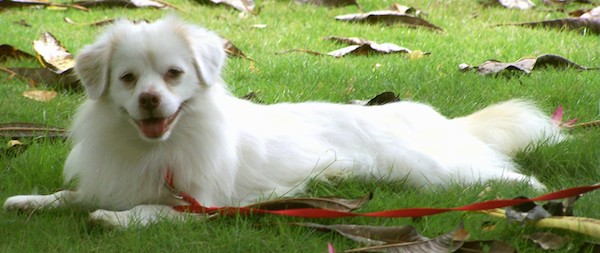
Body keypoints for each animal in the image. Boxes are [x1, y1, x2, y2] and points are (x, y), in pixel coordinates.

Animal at [3, 17, 564, 227]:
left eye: (173, 74)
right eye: (127, 79)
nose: (149, 100)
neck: (153, 147)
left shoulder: (203, 206)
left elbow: (145, 212)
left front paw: (112, 219)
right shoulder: (113, 178)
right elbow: (70, 196)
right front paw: (30, 202)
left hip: (432, 173)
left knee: (491, 173)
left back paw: (531, 193)